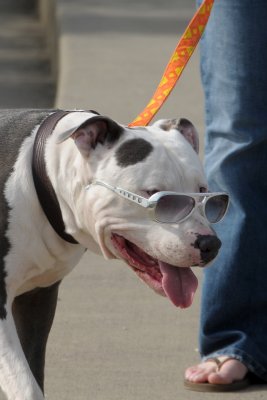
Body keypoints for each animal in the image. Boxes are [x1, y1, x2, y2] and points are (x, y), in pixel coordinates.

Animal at [0, 109, 225, 400]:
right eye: (157, 196)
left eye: (202, 191)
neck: (46, 177)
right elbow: (26, 385)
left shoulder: (38, 298)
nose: (210, 244)